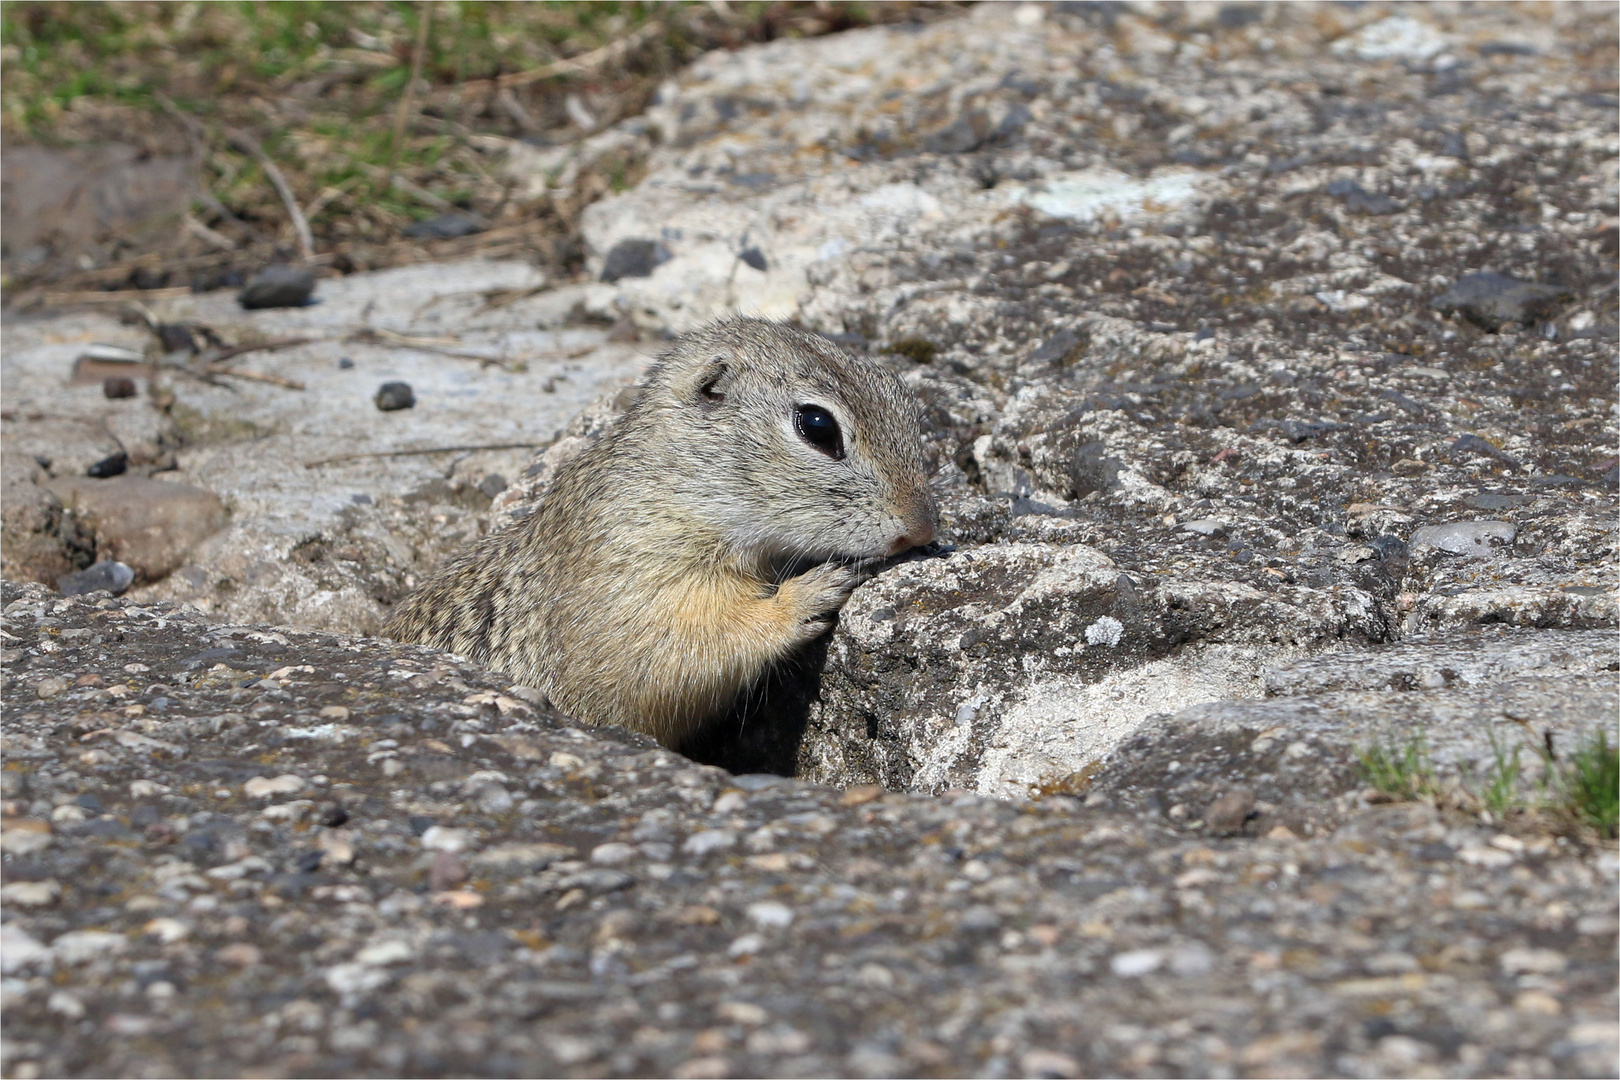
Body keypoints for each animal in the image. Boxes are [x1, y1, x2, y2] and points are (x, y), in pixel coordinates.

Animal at [388, 317, 939, 748]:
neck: (677, 481)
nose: (922, 527)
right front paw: (807, 593)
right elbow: (680, 646)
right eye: (817, 426)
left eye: (899, 393)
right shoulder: (632, 571)